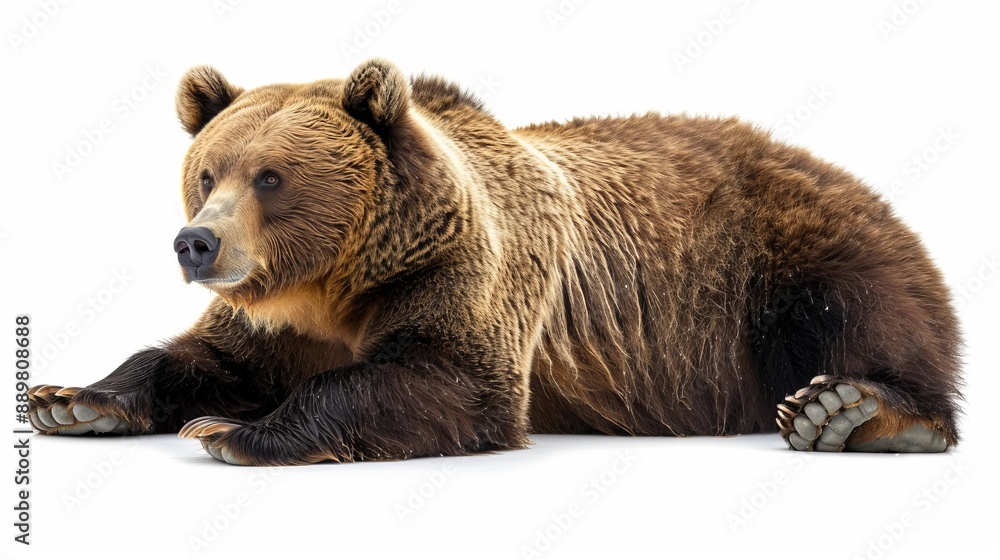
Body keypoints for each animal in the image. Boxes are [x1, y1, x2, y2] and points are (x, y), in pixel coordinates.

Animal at [28, 59, 962, 465]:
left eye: (271, 176)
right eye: (206, 173)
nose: (197, 242)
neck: (332, 285)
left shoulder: (464, 274)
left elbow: (449, 381)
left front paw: (233, 431)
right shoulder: (274, 324)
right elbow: (200, 355)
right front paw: (72, 400)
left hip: (787, 251)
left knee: (876, 311)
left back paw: (851, 412)